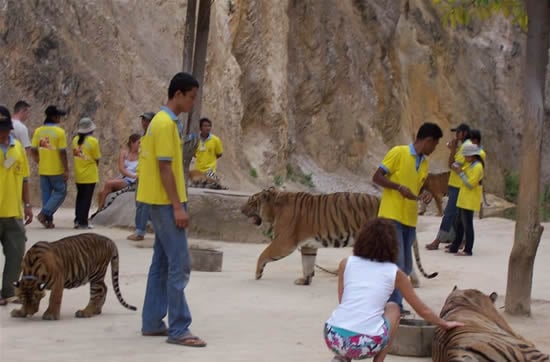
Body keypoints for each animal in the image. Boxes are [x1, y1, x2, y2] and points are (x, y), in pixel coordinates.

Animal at [242, 187, 440, 286]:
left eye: (251, 202)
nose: (241, 210)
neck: (275, 208)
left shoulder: (284, 241)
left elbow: (264, 254)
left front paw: (257, 273)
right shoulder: (308, 246)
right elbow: (308, 264)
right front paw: (305, 280)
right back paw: (415, 282)